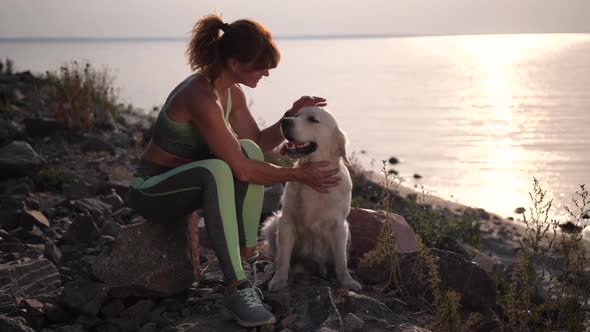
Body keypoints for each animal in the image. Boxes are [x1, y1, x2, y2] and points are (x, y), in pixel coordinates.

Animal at [264, 105, 366, 290]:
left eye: (312, 119)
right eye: (296, 115)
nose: (284, 121)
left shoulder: (339, 226)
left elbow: (341, 260)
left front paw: (347, 281)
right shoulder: (286, 221)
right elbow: (283, 257)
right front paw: (279, 280)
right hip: (273, 224)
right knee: (276, 255)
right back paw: (271, 267)